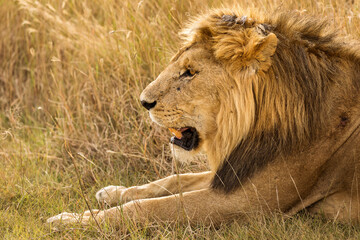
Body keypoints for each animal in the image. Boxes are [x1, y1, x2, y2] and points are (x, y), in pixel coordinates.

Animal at [47, 7, 360, 225]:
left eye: (189, 72)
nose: (143, 102)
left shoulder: (248, 203)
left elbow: (151, 208)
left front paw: (72, 221)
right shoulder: (233, 171)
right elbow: (173, 181)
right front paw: (113, 192)